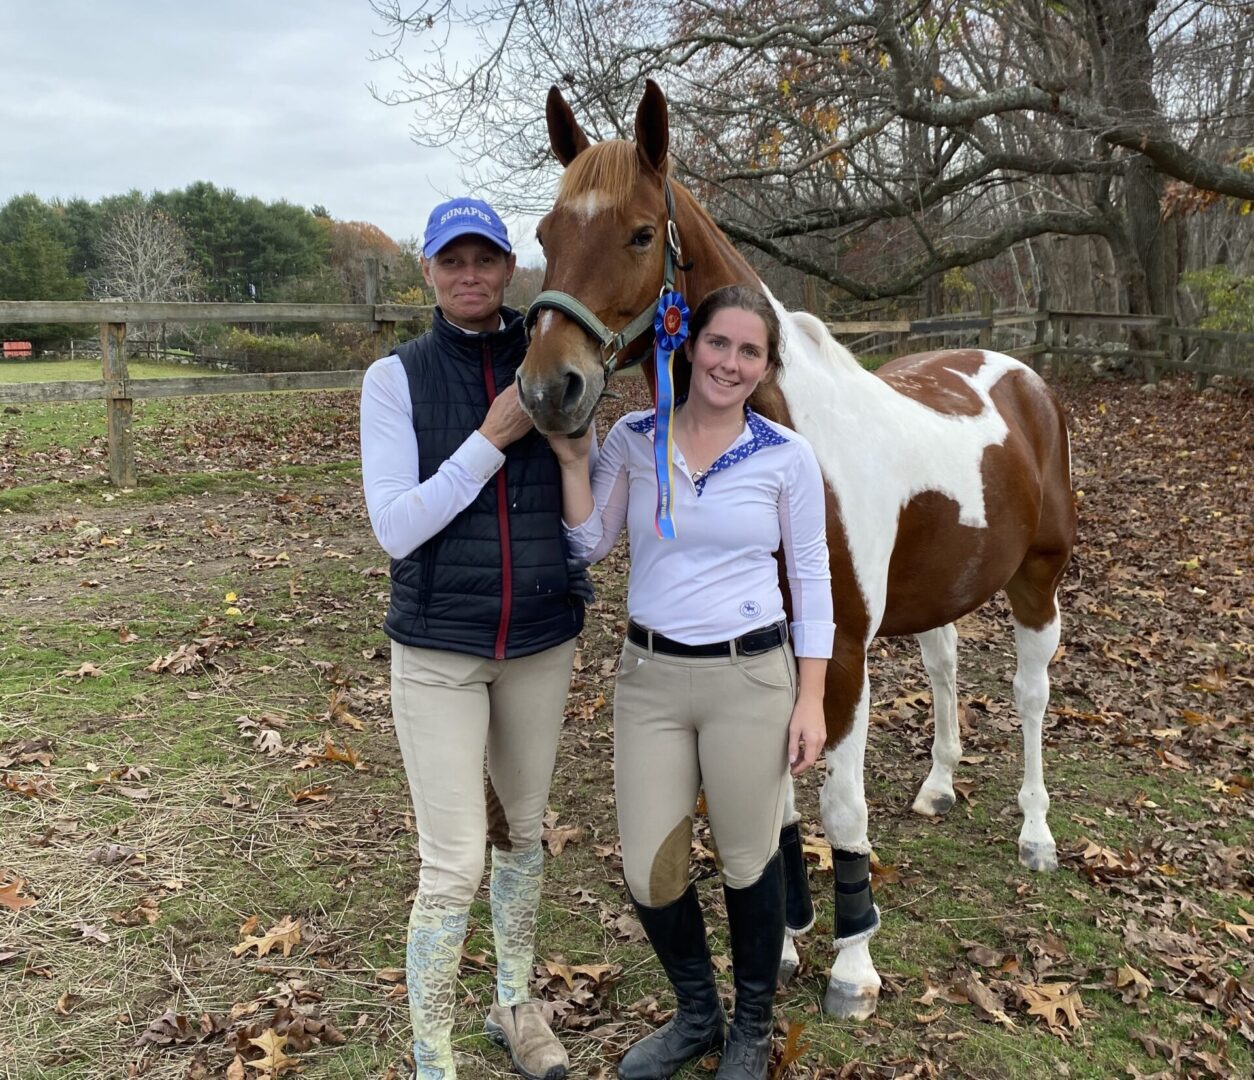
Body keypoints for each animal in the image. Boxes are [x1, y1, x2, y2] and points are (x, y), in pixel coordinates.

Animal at [519, 84, 1078, 1018]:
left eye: (639, 232)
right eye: (544, 234)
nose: (547, 389)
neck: (791, 438)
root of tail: (1022, 377)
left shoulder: (840, 656)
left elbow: (841, 809)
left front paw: (853, 967)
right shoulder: (776, 656)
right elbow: (770, 811)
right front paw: (782, 943)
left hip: (1039, 579)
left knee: (1032, 695)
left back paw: (1037, 833)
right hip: (941, 591)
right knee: (945, 668)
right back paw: (939, 785)